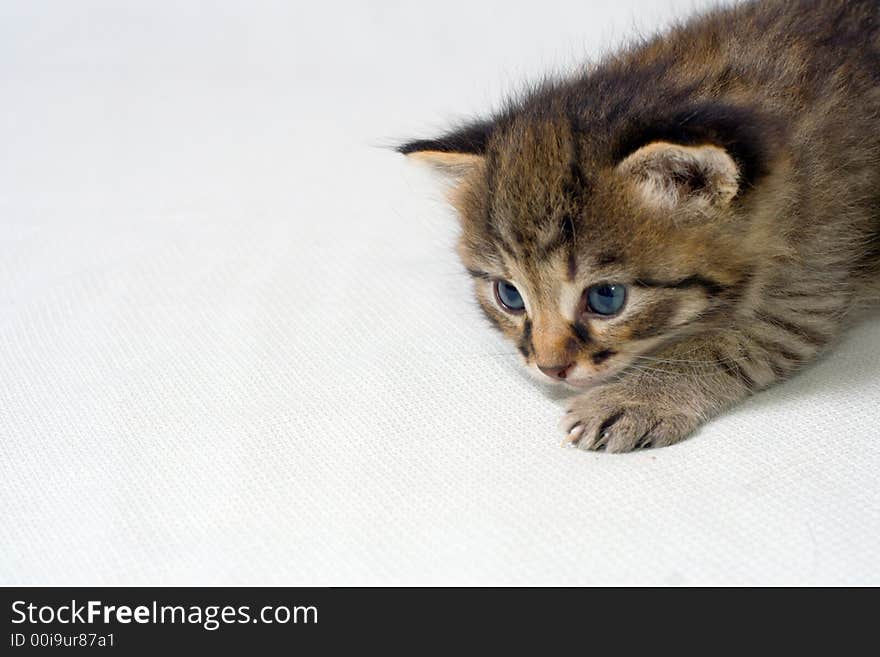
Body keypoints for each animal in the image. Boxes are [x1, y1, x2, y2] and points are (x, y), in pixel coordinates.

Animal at [400, 0, 880, 452]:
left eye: (606, 298)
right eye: (509, 296)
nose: (551, 368)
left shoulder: (809, 284)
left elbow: (722, 345)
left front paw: (635, 400)